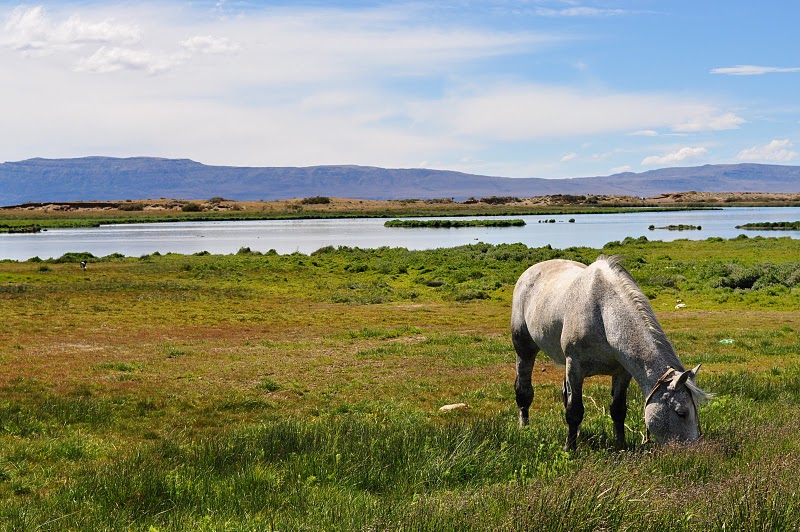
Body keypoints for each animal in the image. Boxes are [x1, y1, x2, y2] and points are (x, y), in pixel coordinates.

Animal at [510, 256, 708, 450]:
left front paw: (620, 445)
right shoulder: (575, 367)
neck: (603, 314)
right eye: (681, 413)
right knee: (524, 390)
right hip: (524, 348)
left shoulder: (622, 373)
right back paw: (524, 427)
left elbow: (618, 410)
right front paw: (570, 449)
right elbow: (574, 411)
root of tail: (530, 271)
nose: (694, 451)